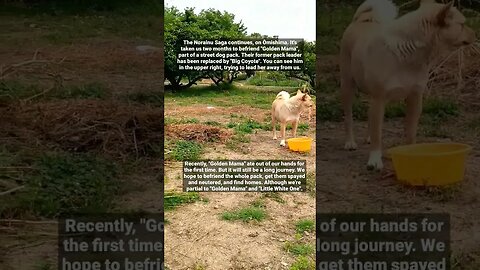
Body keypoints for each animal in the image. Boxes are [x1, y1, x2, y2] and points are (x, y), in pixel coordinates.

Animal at [342, 0, 476, 169]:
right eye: (462, 24)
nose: (476, 34)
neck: (407, 53)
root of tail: (362, 19)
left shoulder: (414, 99)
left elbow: (410, 133)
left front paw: (412, 154)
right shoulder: (379, 99)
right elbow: (378, 135)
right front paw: (375, 160)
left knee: (368, 114)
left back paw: (367, 137)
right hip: (348, 87)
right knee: (348, 117)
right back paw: (349, 142)